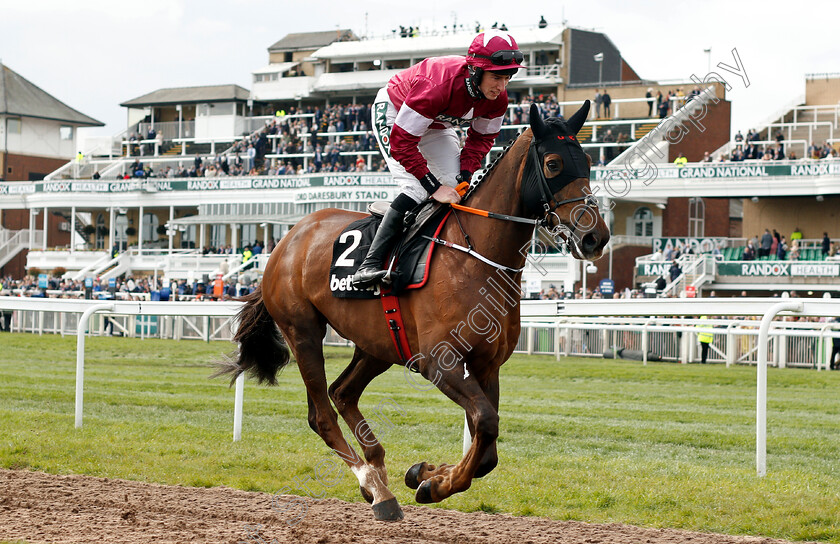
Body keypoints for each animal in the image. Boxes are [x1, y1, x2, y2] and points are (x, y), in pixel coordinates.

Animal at [220, 100, 608, 520]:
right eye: (553, 163)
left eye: (588, 161)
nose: (595, 237)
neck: (476, 255)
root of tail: (286, 239)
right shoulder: (438, 361)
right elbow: (486, 422)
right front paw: (434, 484)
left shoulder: (487, 364)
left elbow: (486, 447)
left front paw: (427, 473)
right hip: (302, 330)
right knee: (321, 415)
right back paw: (377, 489)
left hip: (378, 343)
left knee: (343, 392)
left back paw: (376, 470)